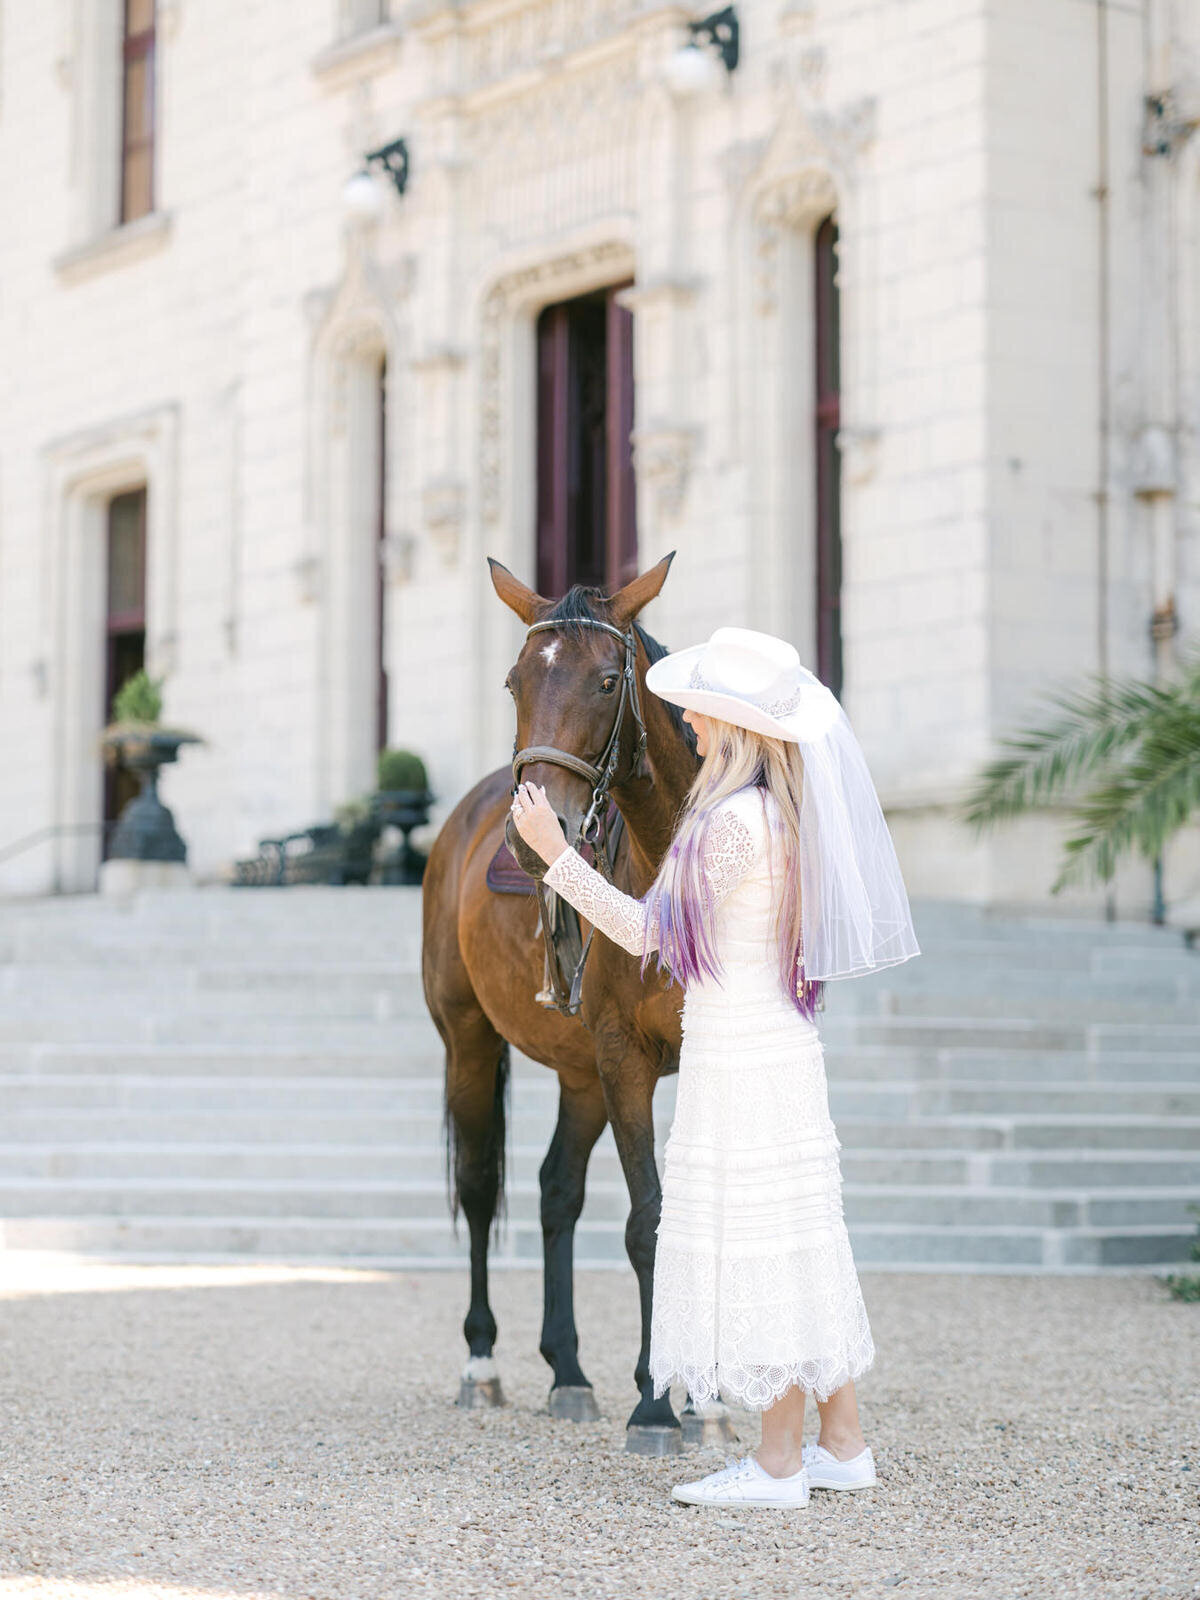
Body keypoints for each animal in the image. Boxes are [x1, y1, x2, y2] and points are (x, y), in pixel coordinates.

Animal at [422, 550, 729, 1452]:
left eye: (606, 680)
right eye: (514, 681)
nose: (540, 832)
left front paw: (705, 1398)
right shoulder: (626, 1058)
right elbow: (648, 1220)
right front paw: (658, 1404)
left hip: (579, 1074)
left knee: (558, 1189)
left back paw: (569, 1370)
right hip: (470, 1041)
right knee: (480, 1186)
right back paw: (483, 1365)